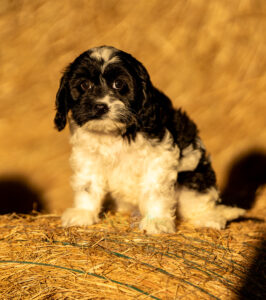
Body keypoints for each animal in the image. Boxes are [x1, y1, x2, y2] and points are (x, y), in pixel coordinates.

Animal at [53, 45, 245, 233]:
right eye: (85, 84)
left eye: (118, 84)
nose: (100, 106)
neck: (114, 133)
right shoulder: (87, 156)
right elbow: (87, 184)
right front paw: (83, 212)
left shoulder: (158, 156)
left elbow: (155, 189)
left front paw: (157, 221)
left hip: (194, 178)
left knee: (199, 200)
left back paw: (209, 217)